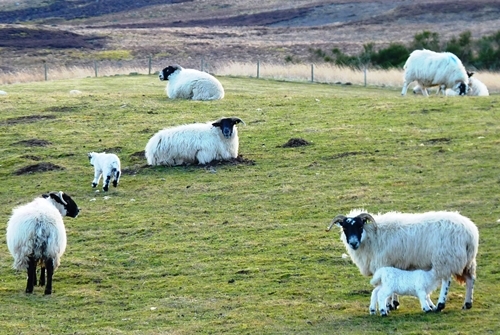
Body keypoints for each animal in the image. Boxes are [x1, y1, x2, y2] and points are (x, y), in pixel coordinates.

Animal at [326, 210, 478, 312]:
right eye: (345, 227)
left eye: (359, 226)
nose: (353, 243)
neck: (371, 236)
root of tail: (470, 232)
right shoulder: (393, 263)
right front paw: (394, 303)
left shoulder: (384, 262)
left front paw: (388, 305)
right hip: (467, 261)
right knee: (470, 279)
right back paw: (467, 303)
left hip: (445, 257)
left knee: (446, 280)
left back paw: (440, 305)